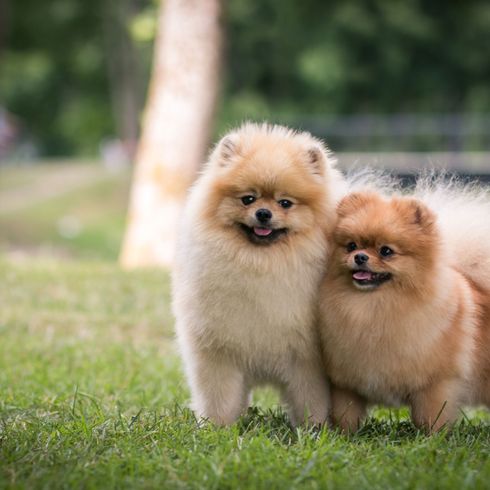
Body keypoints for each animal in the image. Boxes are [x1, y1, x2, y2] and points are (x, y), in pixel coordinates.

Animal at [172, 121, 344, 424]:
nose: (263, 213)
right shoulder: (218, 354)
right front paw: (216, 427)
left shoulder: (306, 360)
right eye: (247, 199)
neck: (261, 263)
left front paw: (314, 428)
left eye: (285, 203)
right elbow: (220, 398)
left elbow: (310, 399)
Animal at [320, 188, 490, 432]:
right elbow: (346, 413)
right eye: (351, 245)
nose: (360, 256)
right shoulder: (345, 382)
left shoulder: (436, 383)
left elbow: (431, 417)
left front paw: (432, 436)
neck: (374, 306)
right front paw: (344, 434)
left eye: (386, 251)